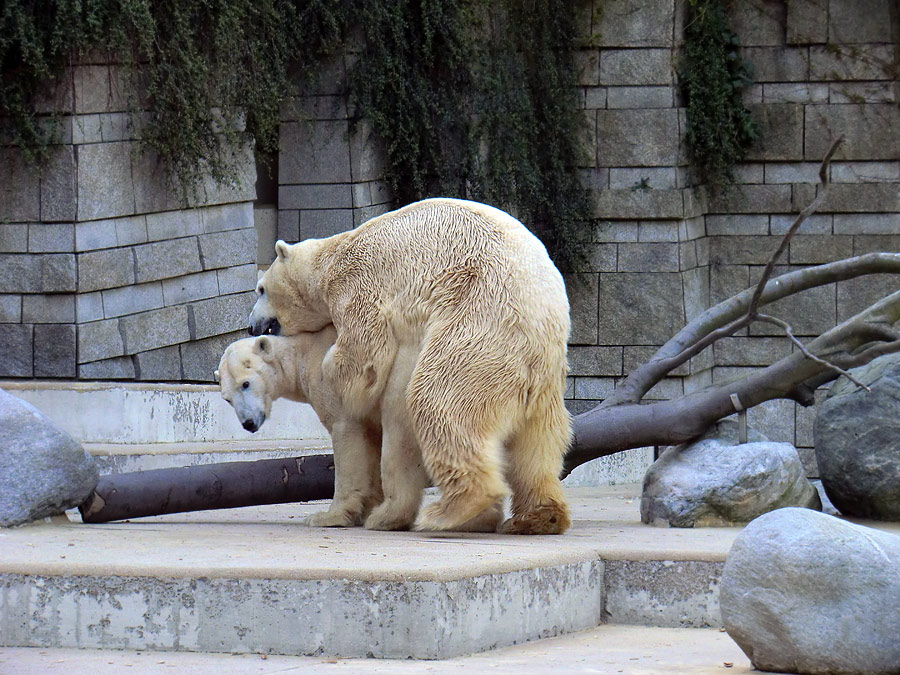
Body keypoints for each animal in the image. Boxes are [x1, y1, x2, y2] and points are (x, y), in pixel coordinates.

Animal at [214, 332, 502, 532]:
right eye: (227, 398)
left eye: (246, 383)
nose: (248, 423)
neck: (303, 353)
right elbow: (371, 444)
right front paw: (366, 507)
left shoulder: (336, 385)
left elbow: (348, 437)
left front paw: (327, 517)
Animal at [248, 198, 568, 536]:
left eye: (261, 289)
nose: (252, 326)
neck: (332, 257)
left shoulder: (358, 281)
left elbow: (365, 348)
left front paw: (334, 372)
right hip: (542, 381)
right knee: (538, 448)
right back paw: (538, 517)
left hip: (478, 331)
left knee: (438, 401)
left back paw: (451, 511)